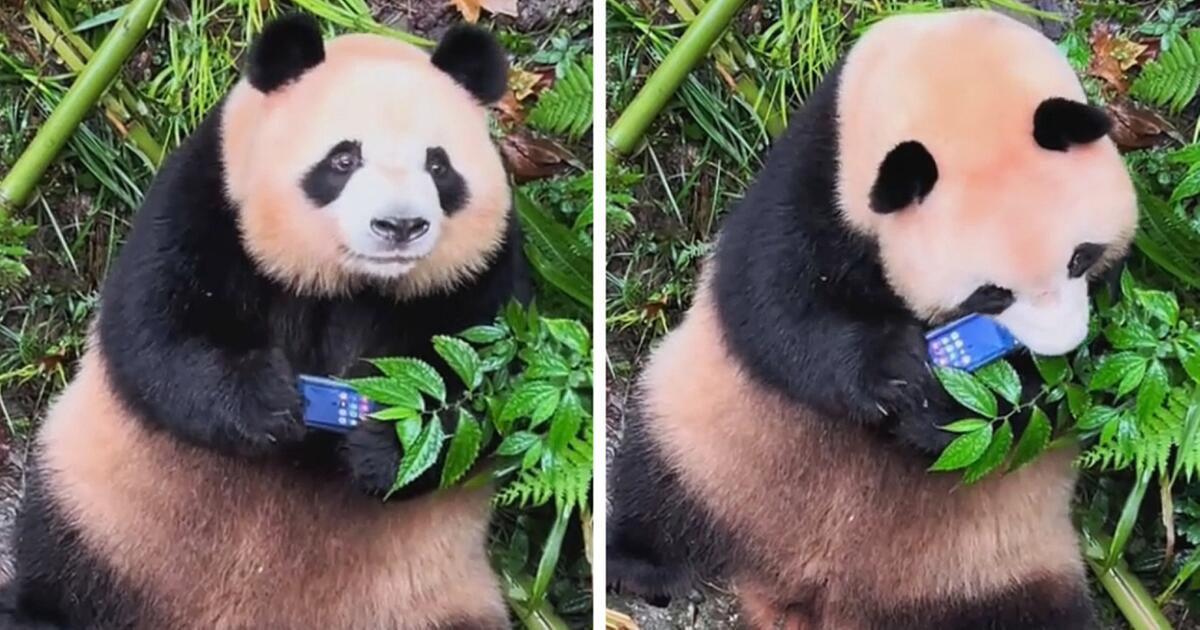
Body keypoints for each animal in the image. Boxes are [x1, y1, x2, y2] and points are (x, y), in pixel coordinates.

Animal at [1, 14, 525, 630]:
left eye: (438, 165)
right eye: (343, 160)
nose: (400, 226)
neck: (350, 281)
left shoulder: (484, 273)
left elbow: (488, 398)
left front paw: (383, 441)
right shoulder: (210, 195)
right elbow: (153, 331)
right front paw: (268, 404)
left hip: (424, 600)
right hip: (102, 522)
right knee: (60, 576)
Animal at [608, 9, 1136, 630]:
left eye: (1080, 257)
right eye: (990, 294)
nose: (1059, 343)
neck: (949, 76)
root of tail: (805, 591)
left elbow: (1072, 394)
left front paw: (947, 406)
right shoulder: (816, 169)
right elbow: (773, 305)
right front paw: (901, 375)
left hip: (996, 568)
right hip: (710, 444)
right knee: (652, 483)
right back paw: (638, 567)